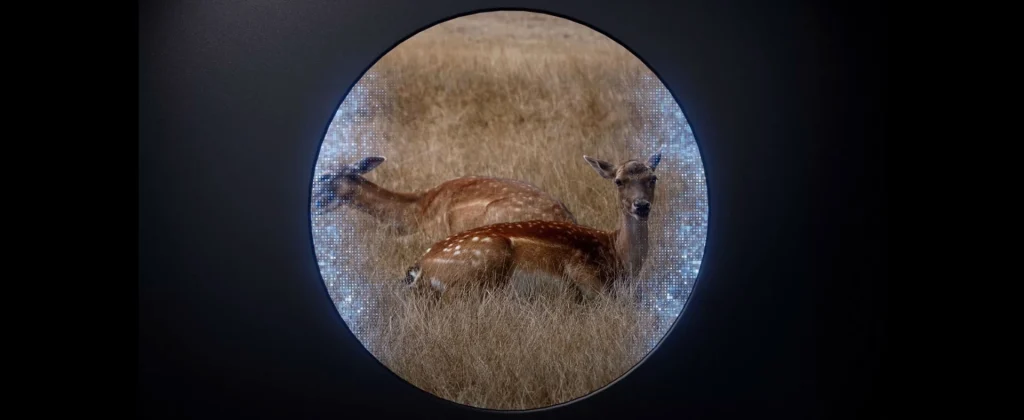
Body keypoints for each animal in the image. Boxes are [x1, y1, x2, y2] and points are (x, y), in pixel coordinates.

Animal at [403, 151, 663, 301]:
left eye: (653, 178)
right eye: (619, 181)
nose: (641, 206)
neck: (616, 255)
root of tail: (420, 267)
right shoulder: (582, 271)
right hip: (486, 258)